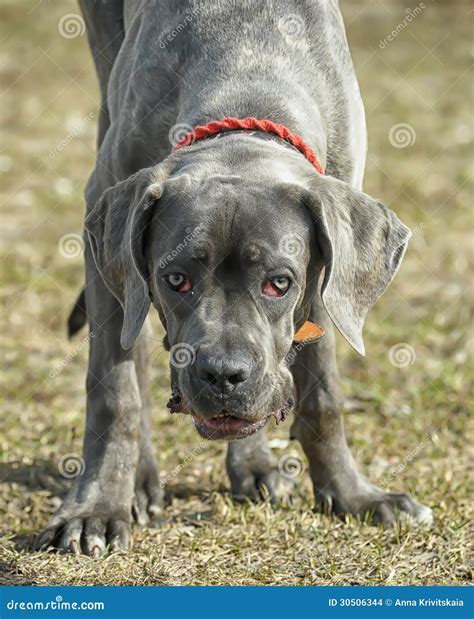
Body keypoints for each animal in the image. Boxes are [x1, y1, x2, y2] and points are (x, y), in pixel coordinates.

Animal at [36, 0, 430, 556]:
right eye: (176, 279)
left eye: (279, 283)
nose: (223, 375)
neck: (248, 74)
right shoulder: (107, 210)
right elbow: (115, 389)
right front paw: (96, 508)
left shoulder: (331, 275)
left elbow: (323, 392)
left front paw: (353, 495)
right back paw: (139, 482)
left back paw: (255, 463)